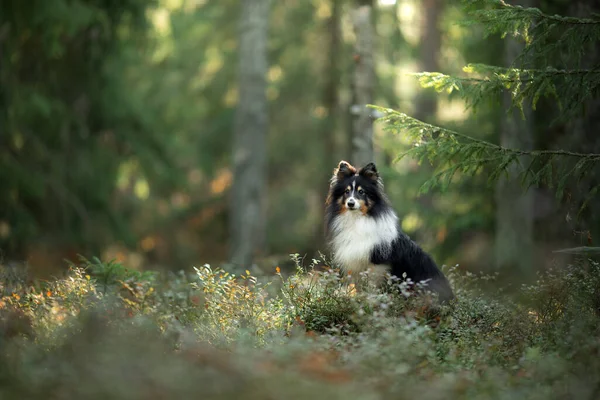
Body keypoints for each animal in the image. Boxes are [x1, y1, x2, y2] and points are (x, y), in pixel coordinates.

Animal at [326, 161, 452, 302]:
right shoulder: (356, 264)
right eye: (346, 192)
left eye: (361, 192)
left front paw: (371, 300)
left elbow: (372, 286)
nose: (350, 203)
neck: (357, 219)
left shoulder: (378, 264)